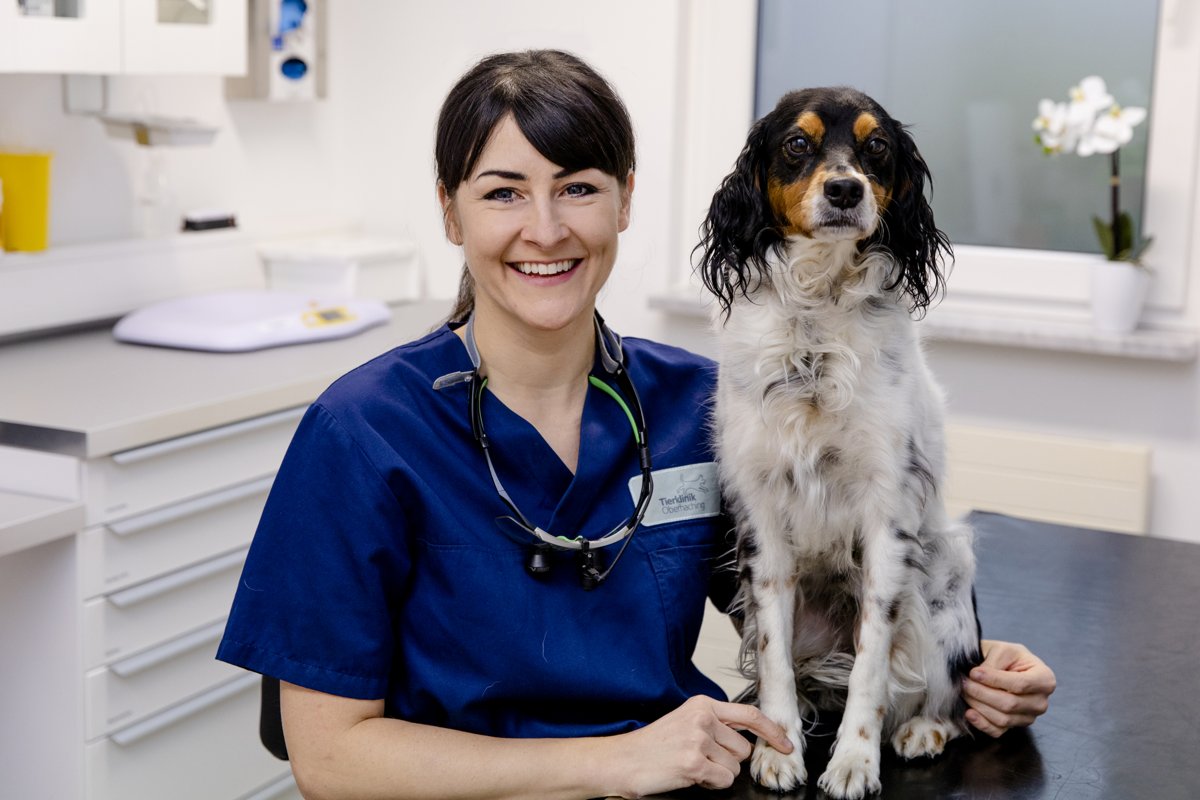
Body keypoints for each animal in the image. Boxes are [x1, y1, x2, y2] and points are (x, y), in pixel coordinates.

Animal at [700, 84, 979, 796]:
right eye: (797, 144)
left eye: (875, 146)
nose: (846, 189)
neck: (817, 319)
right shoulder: (761, 517)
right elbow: (772, 655)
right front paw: (778, 750)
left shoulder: (888, 515)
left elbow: (873, 661)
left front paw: (854, 760)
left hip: (945, 577)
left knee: (946, 692)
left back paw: (923, 730)